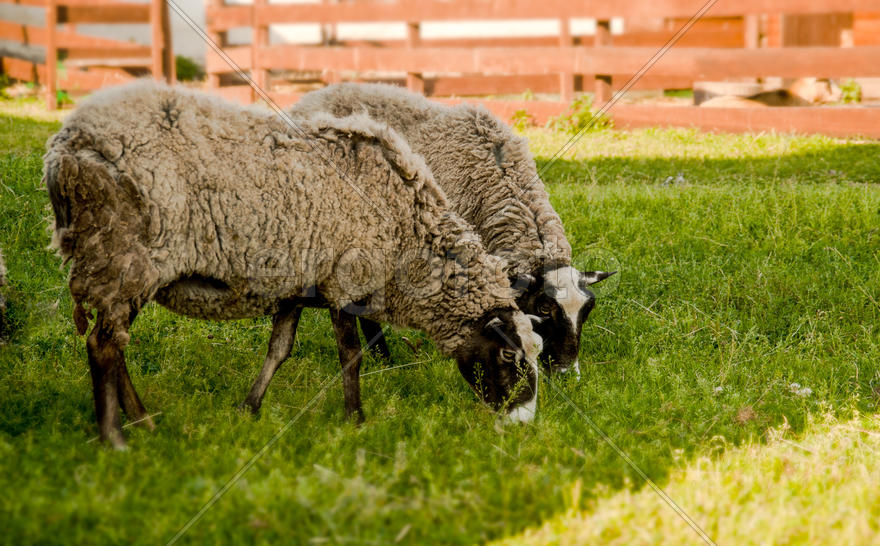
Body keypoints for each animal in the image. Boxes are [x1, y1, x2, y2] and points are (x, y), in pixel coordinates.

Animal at [48, 82, 548, 446]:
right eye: (509, 355)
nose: (523, 422)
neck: (407, 235)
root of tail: (62, 150)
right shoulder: (344, 281)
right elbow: (351, 357)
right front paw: (356, 419)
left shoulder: (297, 282)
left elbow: (279, 350)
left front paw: (249, 408)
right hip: (122, 256)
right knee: (103, 346)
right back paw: (116, 437)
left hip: (119, 265)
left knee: (113, 344)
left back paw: (143, 423)